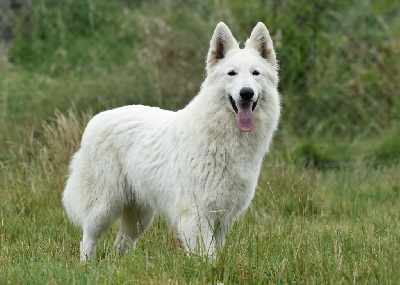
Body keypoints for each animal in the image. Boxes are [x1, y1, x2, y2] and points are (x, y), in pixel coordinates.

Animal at [63, 22, 282, 262]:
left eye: (255, 73)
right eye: (231, 73)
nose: (246, 93)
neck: (223, 138)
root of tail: (96, 119)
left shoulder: (223, 217)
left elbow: (215, 253)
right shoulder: (197, 213)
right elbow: (206, 255)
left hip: (140, 217)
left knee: (120, 245)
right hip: (104, 206)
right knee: (88, 239)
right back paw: (87, 266)